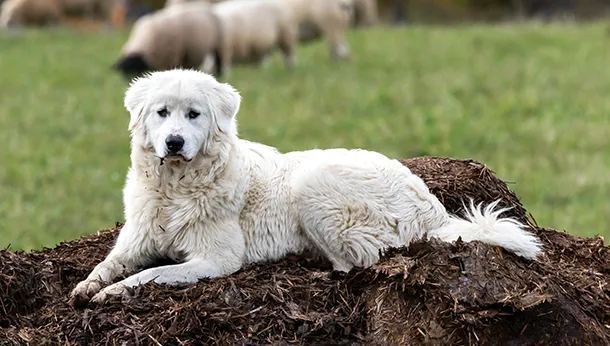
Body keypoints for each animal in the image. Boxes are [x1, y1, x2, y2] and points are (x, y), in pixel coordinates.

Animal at [69, 69, 540, 306]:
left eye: (194, 114)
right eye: (162, 112)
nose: (174, 143)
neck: (175, 188)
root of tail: (434, 209)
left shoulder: (216, 259)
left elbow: (152, 274)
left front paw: (112, 293)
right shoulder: (136, 238)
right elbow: (109, 263)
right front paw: (88, 287)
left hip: (312, 184)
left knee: (355, 263)